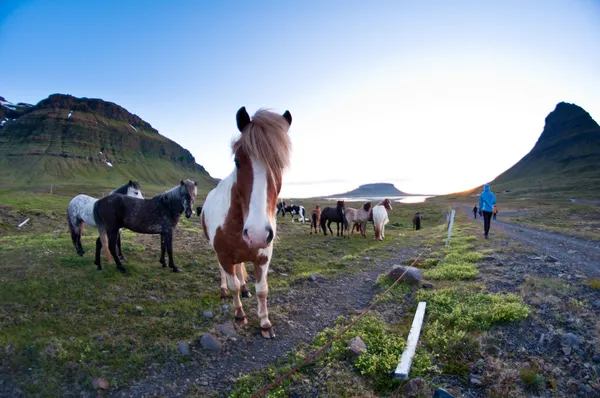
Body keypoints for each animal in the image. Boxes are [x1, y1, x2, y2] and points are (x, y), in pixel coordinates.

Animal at [200, 106, 292, 338]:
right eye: (237, 161)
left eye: (280, 164)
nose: (258, 234)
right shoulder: (224, 255)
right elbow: (232, 283)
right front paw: (240, 315)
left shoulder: (263, 257)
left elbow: (262, 290)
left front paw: (265, 323)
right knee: (225, 274)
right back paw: (224, 290)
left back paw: (244, 288)